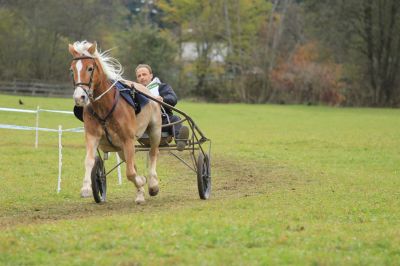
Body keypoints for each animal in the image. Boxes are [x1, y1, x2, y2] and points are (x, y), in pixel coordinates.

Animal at [68, 41, 161, 204]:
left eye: (90, 68)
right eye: (72, 70)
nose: (79, 97)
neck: (105, 106)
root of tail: (148, 91)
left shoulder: (128, 139)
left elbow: (130, 173)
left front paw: (143, 181)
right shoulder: (92, 136)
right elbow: (89, 161)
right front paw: (86, 188)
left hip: (155, 130)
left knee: (153, 153)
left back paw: (152, 183)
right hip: (120, 148)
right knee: (134, 163)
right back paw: (140, 193)